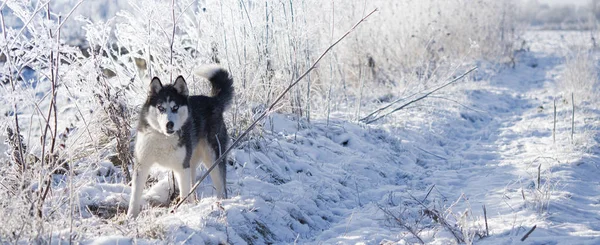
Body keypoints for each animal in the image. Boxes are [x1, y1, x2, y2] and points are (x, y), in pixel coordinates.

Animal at [127, 65, 233, 218]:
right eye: (161, 108)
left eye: (175, 107)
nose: (169, 124)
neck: (163, 138)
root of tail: (213, 101)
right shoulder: (142, 165)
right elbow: (135, 196)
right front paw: (130, 217)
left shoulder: (181, 167)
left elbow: (184, 193)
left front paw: (183, 210)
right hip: (192, 162)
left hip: (213, 158)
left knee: (221, 186)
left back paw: (220, 204)